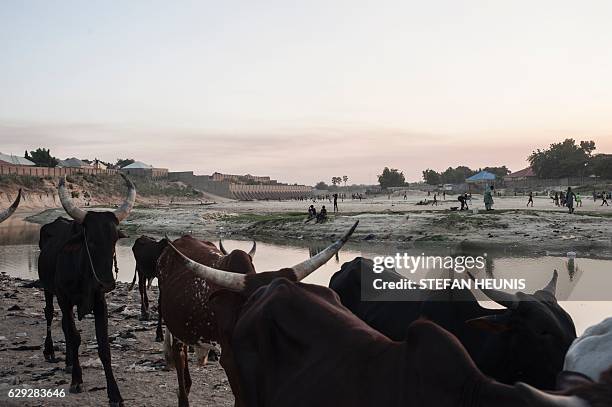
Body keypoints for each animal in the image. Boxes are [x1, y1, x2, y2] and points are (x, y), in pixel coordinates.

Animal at [38, 176, 135, 407]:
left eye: (114, 239)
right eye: (90, 240)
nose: (107, 283)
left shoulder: (100, 303)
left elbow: (104, 347)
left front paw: (115, 394)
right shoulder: (64, 299)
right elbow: (73, 337)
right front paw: (76, 381)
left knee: (65, 326)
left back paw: (68, 362)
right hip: (48, 290)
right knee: (50, 316)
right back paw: (51, 352)